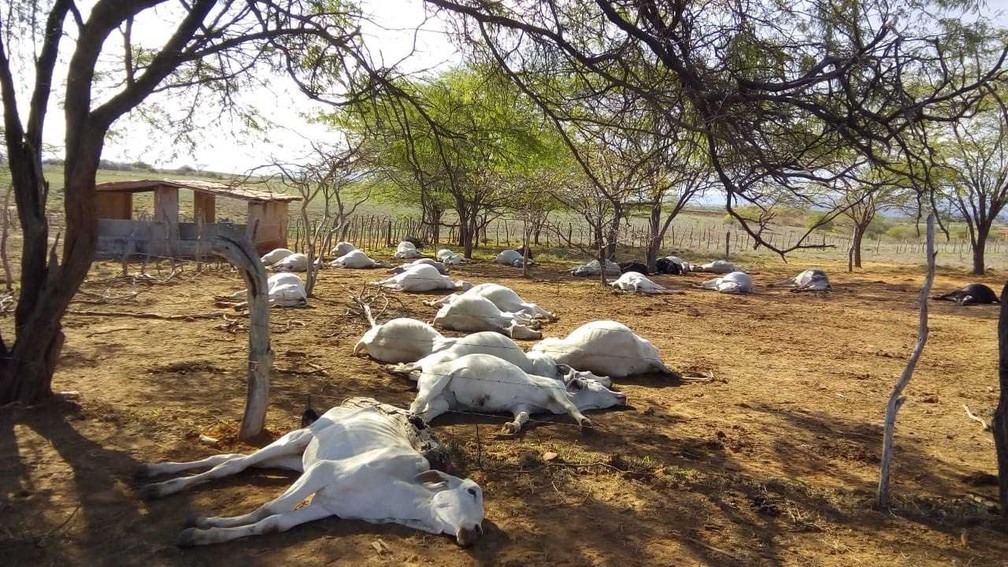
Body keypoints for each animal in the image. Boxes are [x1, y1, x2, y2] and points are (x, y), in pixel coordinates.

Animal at [135, 395, 483, 544]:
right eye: (471, 491)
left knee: (229, 459)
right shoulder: (323, 473)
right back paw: (158, 484)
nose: (475, 532)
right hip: (297, 438)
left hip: (294, 459)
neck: (395, 495)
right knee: (235, 464)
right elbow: (267, 509)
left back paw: (154, 472)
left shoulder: (325, 507)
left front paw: (203, 533)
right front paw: (203, 523)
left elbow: (272, 524)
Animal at [407, 353, 620, 431]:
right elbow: (570, 406)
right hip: (436, 381)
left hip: (442, 403)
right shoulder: (554, 389)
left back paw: (419, 422)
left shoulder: (521, 406)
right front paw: (584, 421)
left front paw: (512, 426)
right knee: (416, 403)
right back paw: (411, 417)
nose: (622, 396)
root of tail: (423, 365)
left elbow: (523, 417)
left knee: (428, 412)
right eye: (599, 387)